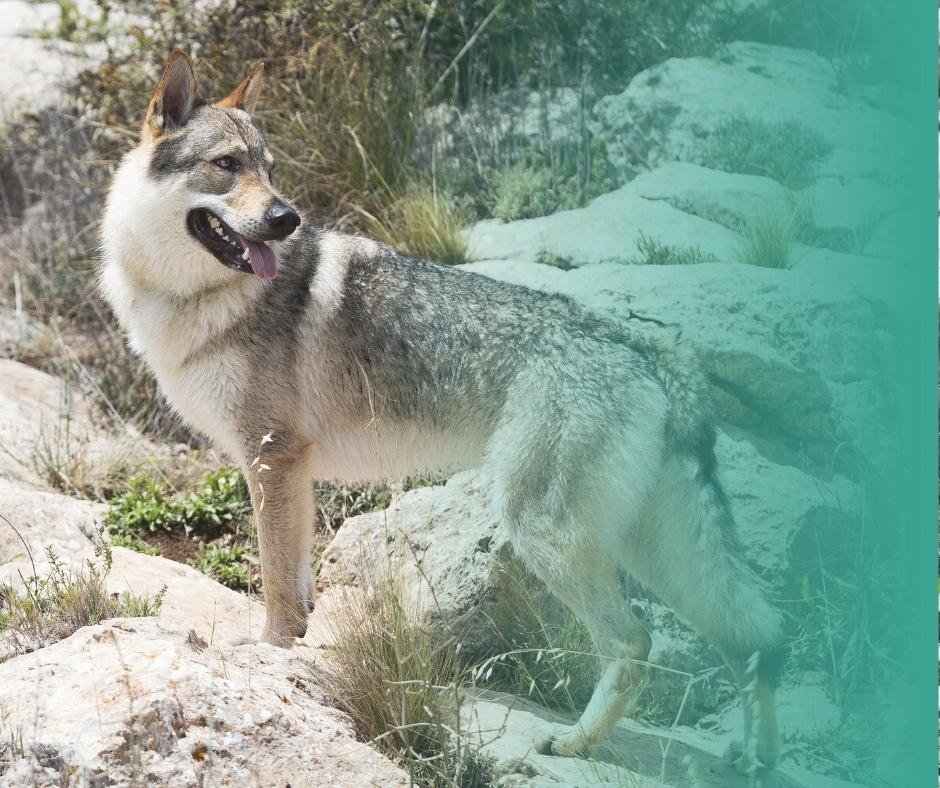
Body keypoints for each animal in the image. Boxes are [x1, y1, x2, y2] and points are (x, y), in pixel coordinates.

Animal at [99, 50, 785, 770]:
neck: (189, 299)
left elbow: (277, 585)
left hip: (546, 533)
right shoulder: (291, 471)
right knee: (757, 637)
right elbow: (300, 574)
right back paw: (755, 757)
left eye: (267, 166)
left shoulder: (271, 457)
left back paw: (572, 742)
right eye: (228, 164)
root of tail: (654, 349)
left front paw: (266, 655)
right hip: (643, 548)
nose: (287, 218)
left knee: (636, 642)